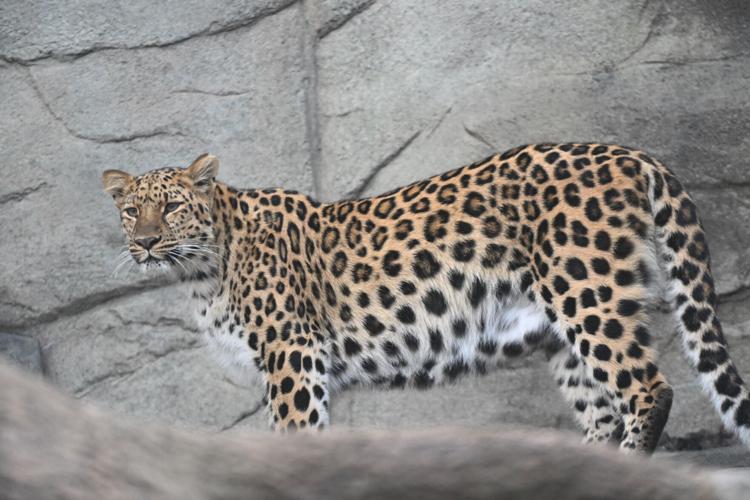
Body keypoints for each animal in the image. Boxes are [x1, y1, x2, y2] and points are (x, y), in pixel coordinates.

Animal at [102, 143, 750, 453]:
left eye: (172, 207)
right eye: (132, 210)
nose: (146, 241)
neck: (202, 270)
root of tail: (631, 154)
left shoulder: (292, 355)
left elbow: (295, 434)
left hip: (587, 291)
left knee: (648, 390)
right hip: (561, 330)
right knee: (602, 410)